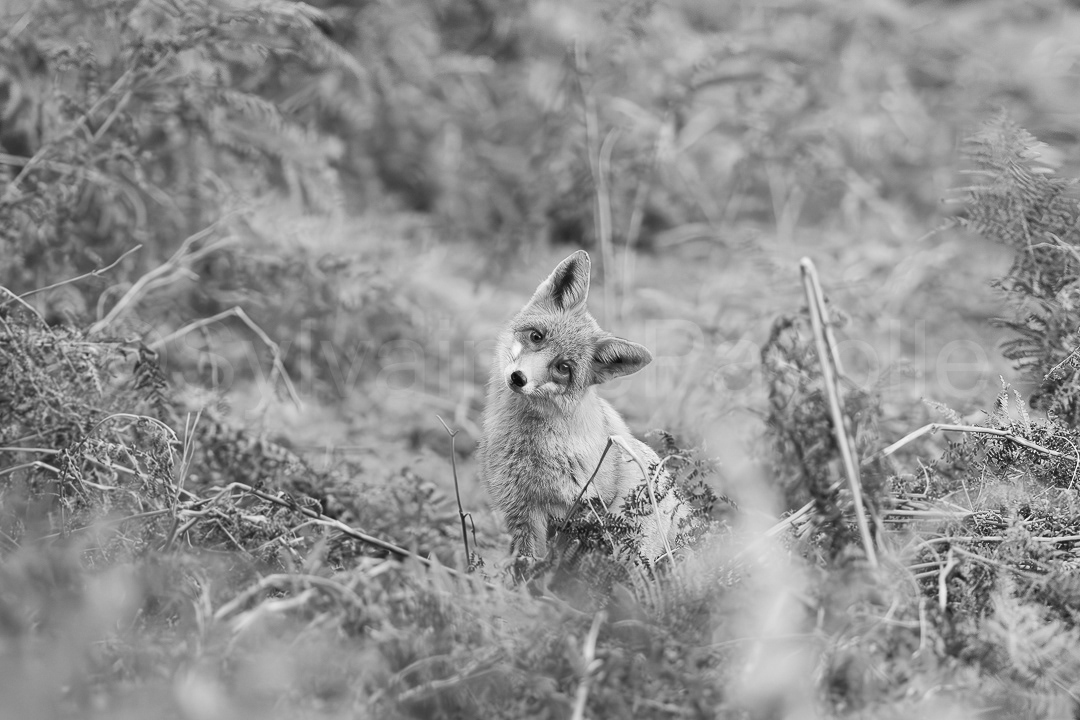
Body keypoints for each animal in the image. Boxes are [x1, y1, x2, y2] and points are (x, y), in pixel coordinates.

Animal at [476, 250, 691, 565]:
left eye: (563, 368)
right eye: (537, 336)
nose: (518, 378)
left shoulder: (585, 509)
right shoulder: (521, 510)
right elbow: (526, 566)